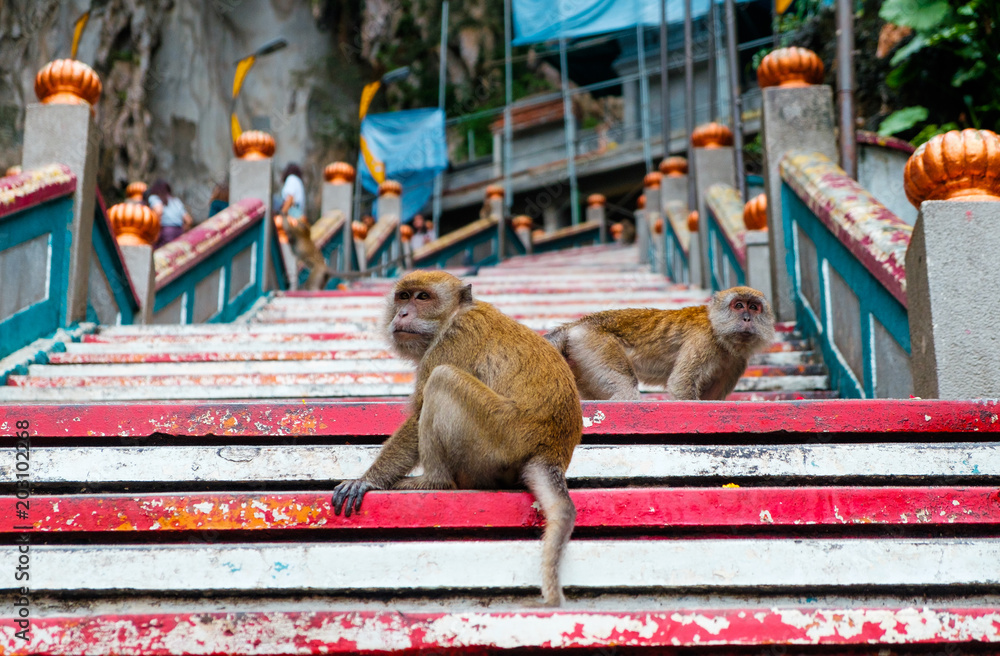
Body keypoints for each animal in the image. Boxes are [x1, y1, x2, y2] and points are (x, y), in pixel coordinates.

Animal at [332, 271, 583, 606]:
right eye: (403, 297)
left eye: (423, 298)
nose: (402, 314)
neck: (454, 314)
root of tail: (552, 450)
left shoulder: (452, 341)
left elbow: (418, 416)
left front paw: (367, 481)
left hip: (498, 437)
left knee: (443, 379)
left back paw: (433, 481)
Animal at [545, 286, 775, 401]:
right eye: (738, 305)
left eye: (753, 307)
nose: (747, 318)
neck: (718, 331)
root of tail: (578, 323)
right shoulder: (703, 341)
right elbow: (681, 384)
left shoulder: (737, 362)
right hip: (594, 342)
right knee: (626, 389)